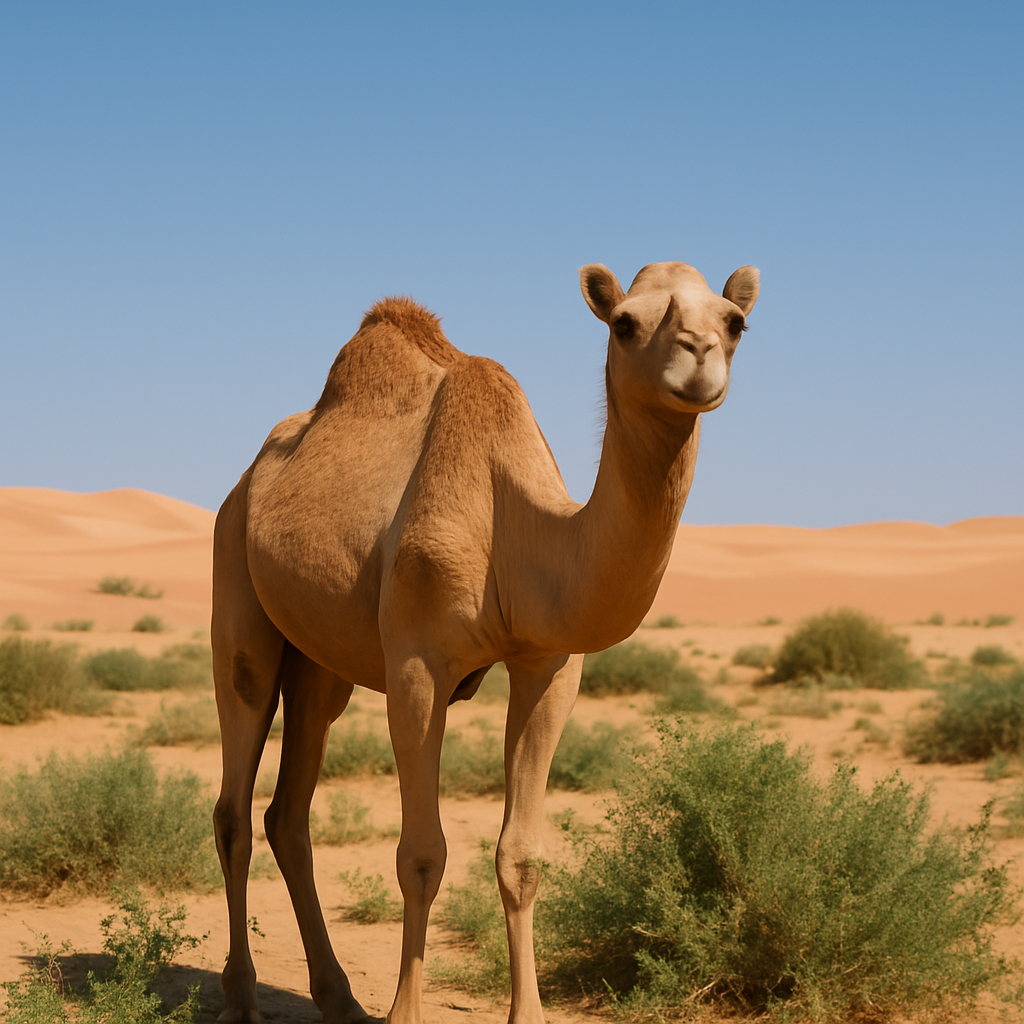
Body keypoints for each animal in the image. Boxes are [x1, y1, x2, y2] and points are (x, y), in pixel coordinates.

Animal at [211, 259, 760, 1024]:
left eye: (735, 323)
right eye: (624, 323)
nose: (700, 357)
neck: (518, 524)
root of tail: (246, 482)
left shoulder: (550, 666)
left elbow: (520, 856)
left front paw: (526, 1013)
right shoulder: (417, 667)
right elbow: (420, 855)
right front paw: (405, 1012)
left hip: (321, 662)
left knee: (288, 813)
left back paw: (338, 996)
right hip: (235, 579)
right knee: (235, 796)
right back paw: (240, 998)